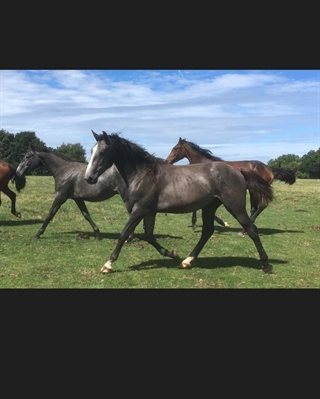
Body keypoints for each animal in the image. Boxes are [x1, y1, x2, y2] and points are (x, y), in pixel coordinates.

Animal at [85, 131, 276, 276]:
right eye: (91, 150)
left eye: (102, 153)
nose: (89, 178)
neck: (143, 175)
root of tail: (239, 171)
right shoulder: (149, 211)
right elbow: (149, 235)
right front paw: (172, 254)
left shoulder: (139, 209)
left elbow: (124, 233)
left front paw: (108, 265)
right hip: (209, 207)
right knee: (207, 232)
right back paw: (187, 261)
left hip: (235, 207)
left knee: (252, 229)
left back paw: (266, 265)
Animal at [165, 138, 298, 234]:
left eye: (176, 148)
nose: (167, 161)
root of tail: (269, 169)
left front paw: (221, 223)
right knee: (254, 208)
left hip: (256, 191)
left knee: (261, 206)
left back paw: (244, 229)